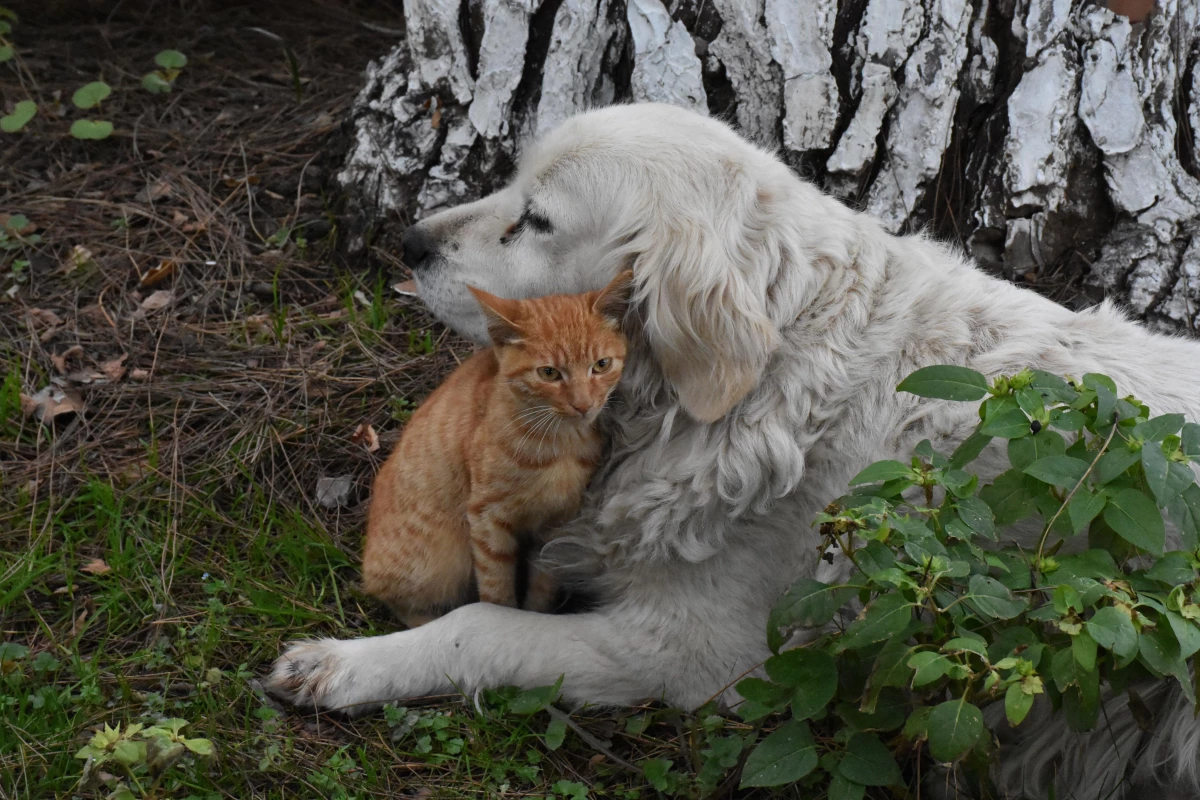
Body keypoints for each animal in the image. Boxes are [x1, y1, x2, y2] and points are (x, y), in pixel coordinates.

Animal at [360, 272, 633, 628]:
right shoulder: (487, 518)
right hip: (439, 560)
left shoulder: (554, 524)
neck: (559, 444)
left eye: (601, 365)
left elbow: (543, 583)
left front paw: (533, 617)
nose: (583, 405)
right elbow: (496, 587)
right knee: (398, 600)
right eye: (549, 373)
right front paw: (501, 617)